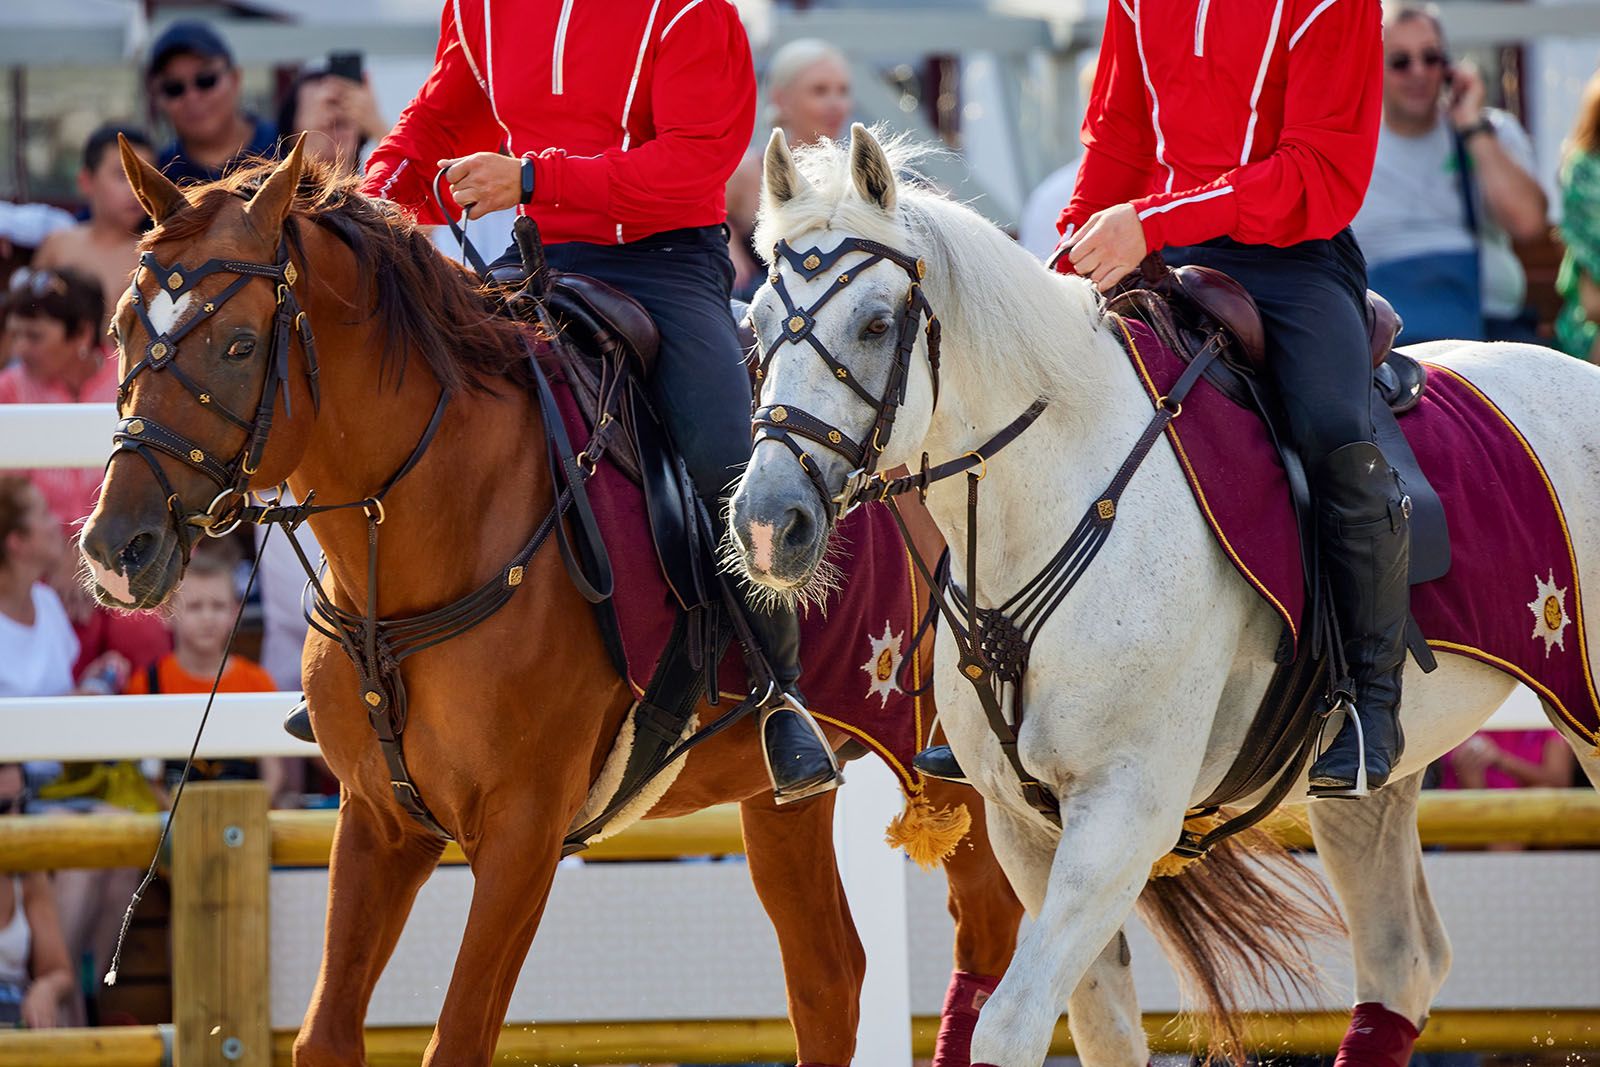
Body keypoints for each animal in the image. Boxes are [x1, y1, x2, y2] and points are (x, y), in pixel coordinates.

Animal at [78, 143, 1024, 1067]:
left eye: (240, 345)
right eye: (122, 328)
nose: (117, 547)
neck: (442, 521)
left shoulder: (522, 836)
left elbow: (459, 1037)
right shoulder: (380, 821)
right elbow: (325, 1035)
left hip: (973, 776)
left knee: (993, 941)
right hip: (784, 794)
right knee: (830, 979)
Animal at [732, 125, 1600, 1067]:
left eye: (876, 322)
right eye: (758, 322)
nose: (768, 523)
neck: (1061, 493)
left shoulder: (1123, 813)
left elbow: (1012, 1024)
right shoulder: (1027, 827)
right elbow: (1099, 1025)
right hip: (1370, 785)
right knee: (1401, 959)